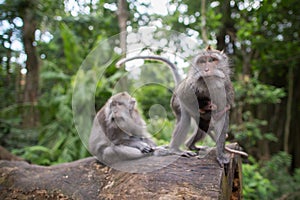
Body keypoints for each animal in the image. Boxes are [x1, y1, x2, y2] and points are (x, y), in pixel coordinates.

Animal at [116, 46, 247, 166]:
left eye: (212, 60)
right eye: (202, 61)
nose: (206, 69)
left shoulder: (227, 90)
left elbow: (221, 116)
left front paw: (220, 154)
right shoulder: (190, 86)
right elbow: (187, 99)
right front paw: (202, 112)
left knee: (201, 128)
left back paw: (191, 145)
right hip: (175, 102)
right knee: (185, 118)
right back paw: (175, 149)